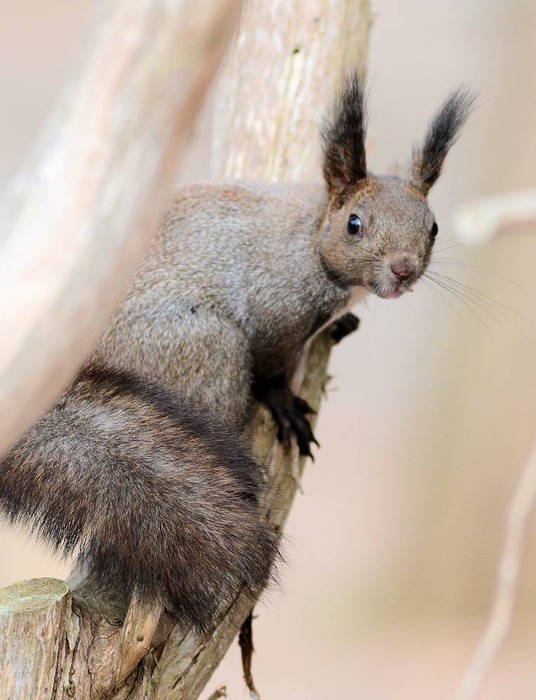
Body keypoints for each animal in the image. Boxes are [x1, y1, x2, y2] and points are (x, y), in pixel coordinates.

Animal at [0, 75, 472, 636]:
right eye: (355, 224)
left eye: (433, 227)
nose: (403, 269)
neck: (309, 235)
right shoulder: (275, 308)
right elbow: (270, 368)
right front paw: (285, 404)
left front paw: (343, 327)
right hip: (203, 348)